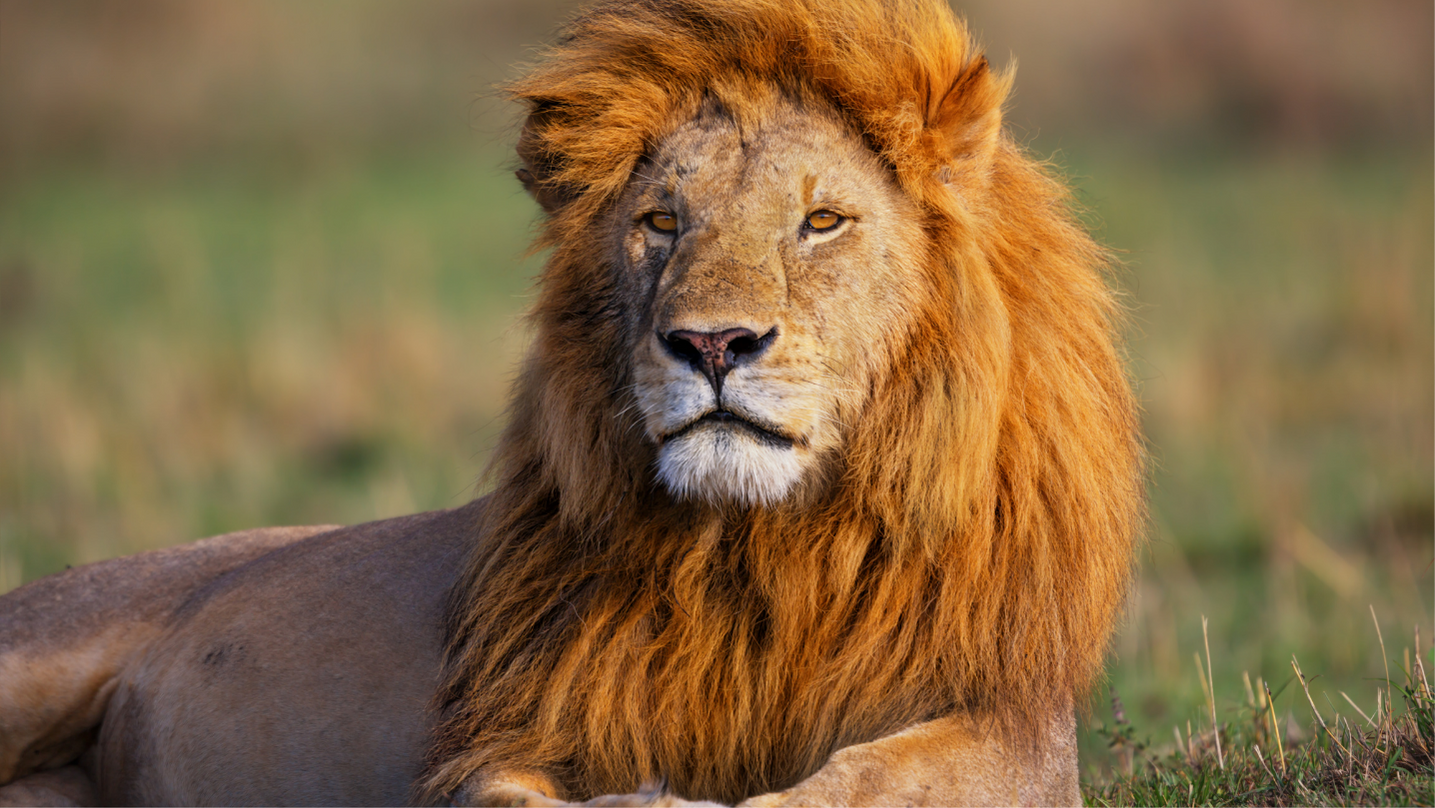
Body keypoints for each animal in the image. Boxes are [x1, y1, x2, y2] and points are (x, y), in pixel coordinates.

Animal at [0, 0, 1144, 805]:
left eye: (821, 221)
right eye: (659, 221)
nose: (711, 344)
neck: (756, 547)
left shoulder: (1007, 722)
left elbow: (867, 781)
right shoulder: (503, 735)